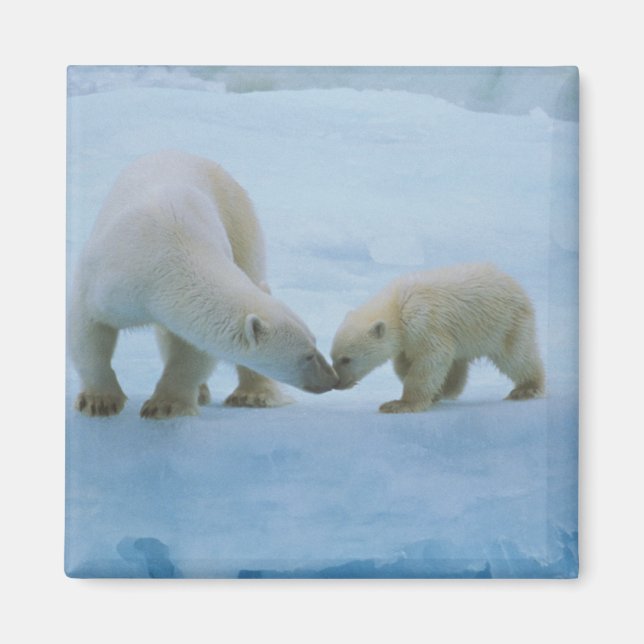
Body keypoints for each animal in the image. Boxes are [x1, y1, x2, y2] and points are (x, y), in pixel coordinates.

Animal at [69, 150, 338, 419]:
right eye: (307, 356)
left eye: (314, 342)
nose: (332, 378)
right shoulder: (108, 277)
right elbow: (89, 325)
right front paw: (99, 401)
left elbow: (192, 348)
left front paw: (165, 405)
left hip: (238, 221)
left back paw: (252, 395)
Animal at [330, 263, 545, 413]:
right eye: (332, 357)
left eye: (346, 359)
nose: (337, 383)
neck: (397, 305)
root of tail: (515, 284)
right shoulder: (408, 339)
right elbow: (405, 362)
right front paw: (435, 393)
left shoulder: (424, 323)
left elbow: (431, 358)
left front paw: (399, 404)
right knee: (458, 362)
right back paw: (451, 387)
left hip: (506, 323)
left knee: (516, 356)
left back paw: (526, 389)